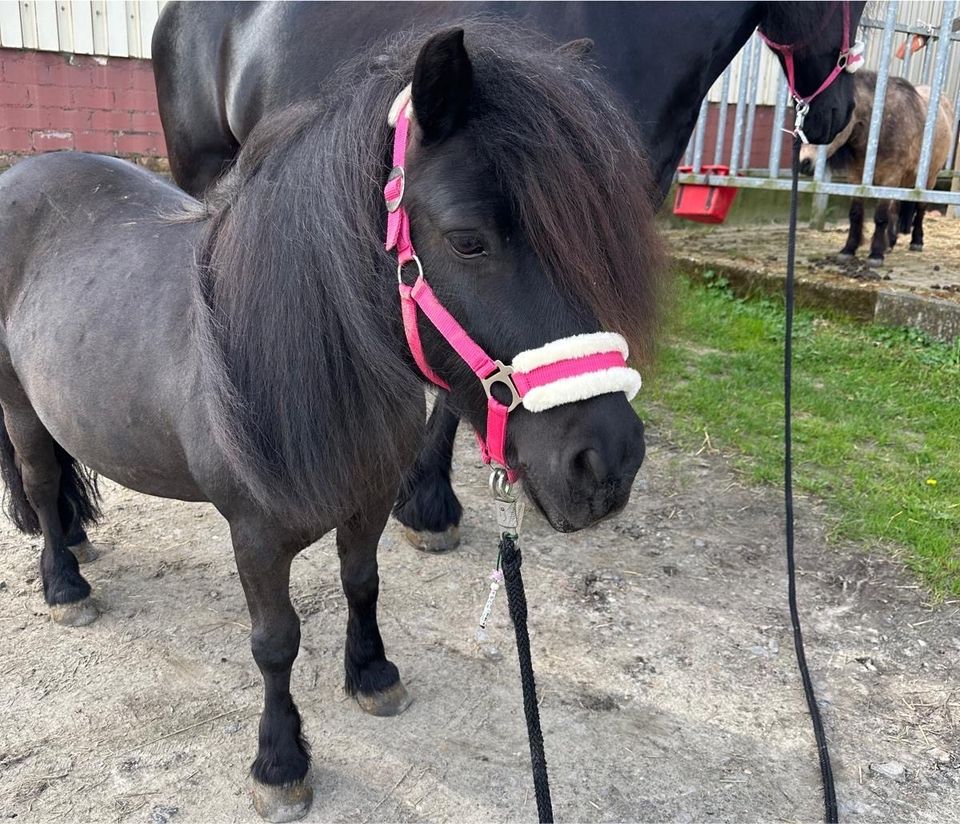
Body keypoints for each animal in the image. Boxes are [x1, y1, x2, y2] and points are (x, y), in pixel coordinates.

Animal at [0, 25, 660, 824]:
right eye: (468, 239)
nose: (608, 462)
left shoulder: (370, 501)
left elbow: (362, 582)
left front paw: (372, 674)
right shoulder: (253, 532)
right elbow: (275, 641)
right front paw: (280, 761)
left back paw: (77, 545)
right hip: (19, 404)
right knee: (39, 480)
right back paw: (64, 584)